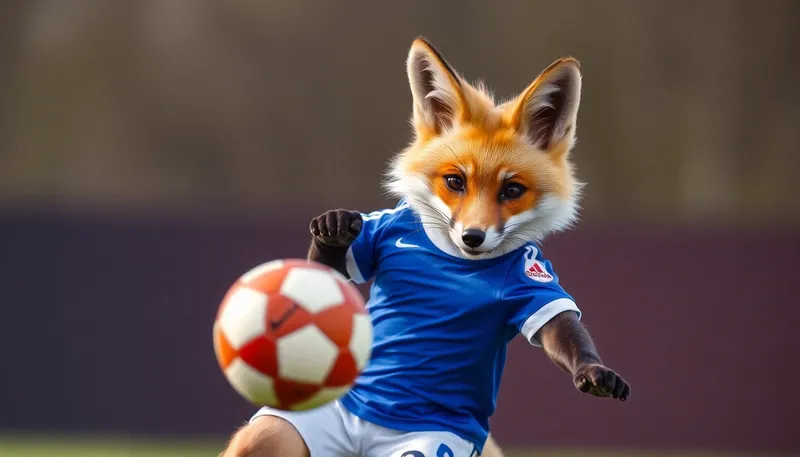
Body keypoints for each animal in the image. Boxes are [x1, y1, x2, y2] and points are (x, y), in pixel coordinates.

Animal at [221, 38, 629, 457]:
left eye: (512, 190)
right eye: (455, 181)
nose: (472, 237)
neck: (449, 258)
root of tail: (363, 442)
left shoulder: (529, 275)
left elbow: (557, 327)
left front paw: (592, 370)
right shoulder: (385, 227)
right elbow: (330, 273)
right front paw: (332, 231)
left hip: (426, 448)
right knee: (262, 440)